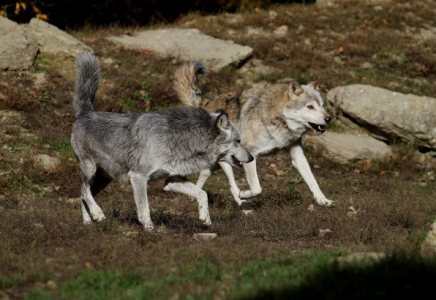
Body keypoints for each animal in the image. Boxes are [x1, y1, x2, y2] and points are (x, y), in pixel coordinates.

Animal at [70, 52, 254, 230]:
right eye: (238, 141)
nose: (252, 157)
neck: (181, 139)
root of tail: (85, 113)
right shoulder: (138, 177)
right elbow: (144, 209)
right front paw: (150, 230)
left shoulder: (172, 181)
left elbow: (203, 194)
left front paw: (205, 220)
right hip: (90, 169)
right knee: (83, 190)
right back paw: (98, 214)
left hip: (105, 178)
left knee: (83, 195)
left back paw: (88, 223)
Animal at [174, 61, 334, 211]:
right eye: (310, 107)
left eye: (322, 106)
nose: (328, 119)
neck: (277, 117)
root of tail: (207, 101)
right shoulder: (251, 155)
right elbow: (257, 188)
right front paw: (245, 193)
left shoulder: (297, 154)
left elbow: (312, 180)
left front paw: (323, 200)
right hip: (227, 161)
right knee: (231, 185)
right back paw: (244, 205)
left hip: (221, 163)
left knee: (205, 175)